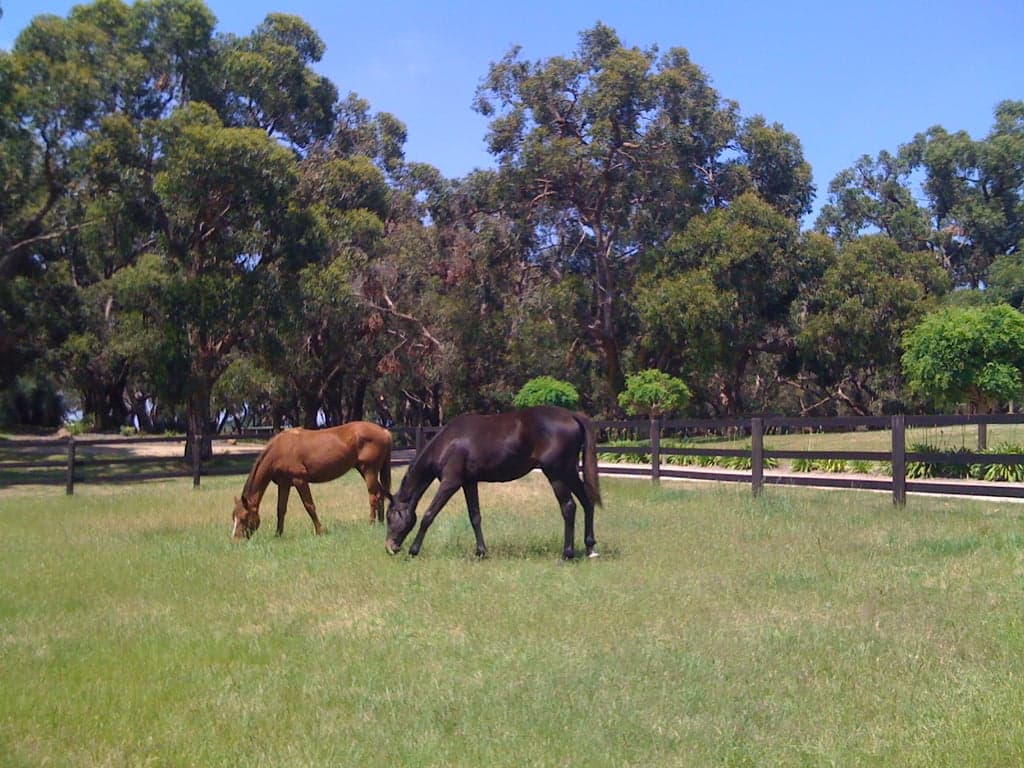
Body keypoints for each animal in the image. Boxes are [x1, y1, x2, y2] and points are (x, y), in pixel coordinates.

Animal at [231, 421, 392, 540]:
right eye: (233, 517)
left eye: (244, 517)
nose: (236, 540)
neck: (279, 450)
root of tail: (384, 432)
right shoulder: (284, 484)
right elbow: (280, 509)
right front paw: (278, 534)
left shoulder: (300, 481)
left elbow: (309, 506)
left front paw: (320, 531)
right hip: (365, 470)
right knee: (380, 494)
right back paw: (381, 522)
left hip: (369, 470)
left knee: (373, 496)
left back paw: (371, 524)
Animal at [385, 406, 601, 559]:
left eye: (388, 516)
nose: (390, 547)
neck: (448, 443)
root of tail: (572, 415)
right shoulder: (469, 483)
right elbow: (475, 517)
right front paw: (481, 551)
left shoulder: (450, 483)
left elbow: (429, 515)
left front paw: (414, 550)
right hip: (569, 473)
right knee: (587, 502)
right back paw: (590, 547)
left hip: (557, 474)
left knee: (569, 507)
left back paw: (567, 554)